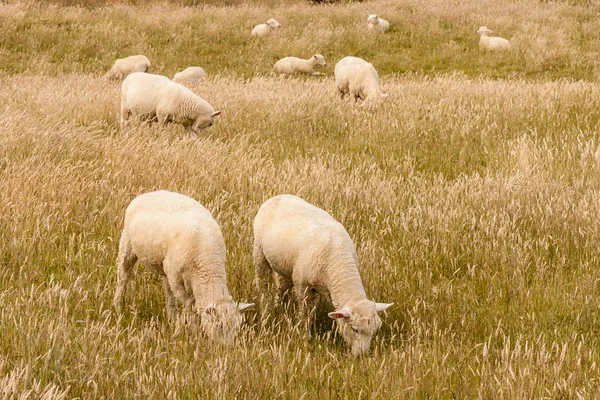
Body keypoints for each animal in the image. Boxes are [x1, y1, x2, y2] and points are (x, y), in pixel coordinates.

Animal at [113, 191, 254, 344]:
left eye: (237, 326)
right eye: (220, 326)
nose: (227, 347)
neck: (207, 265)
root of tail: (148, 193)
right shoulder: (176, 281)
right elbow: (189, 304)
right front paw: (190, 329)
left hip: (164, 267)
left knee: (169, 294)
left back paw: (172, 318)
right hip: (127, 246)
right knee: (123, 277)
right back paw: (118, 308)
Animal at [253, 195, 394, 356]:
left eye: (374, 330)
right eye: (354, 329)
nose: (362, 355)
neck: (340, 262)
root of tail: (279, 196)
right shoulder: (303, 285)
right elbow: (306, 313)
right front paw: (305, 336)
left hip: (286, 266)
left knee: (282, 287)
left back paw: (281, 308)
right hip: (259, 254)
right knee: (264, 287)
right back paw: (266, 314)